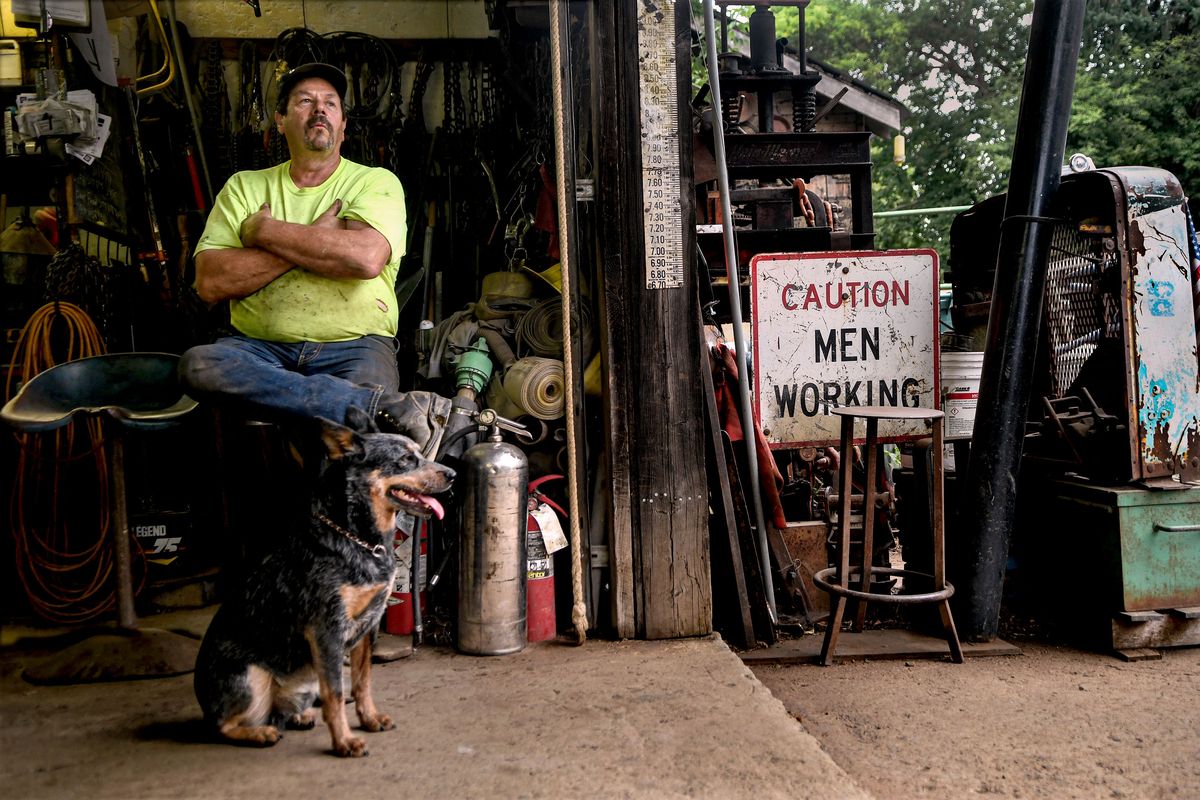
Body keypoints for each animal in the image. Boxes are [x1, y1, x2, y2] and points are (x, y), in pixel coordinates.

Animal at [192, 407, 453, 758]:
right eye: (404, 460)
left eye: (420, 454)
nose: (452, 473)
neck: (359, 540)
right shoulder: (327, 629)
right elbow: (336, 694)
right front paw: (344, 741)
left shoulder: (368, 627)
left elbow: (362, 682)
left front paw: (369, 719)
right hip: (251, 678)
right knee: (222, 724)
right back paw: (259, 732)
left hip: (303, 682)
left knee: (281, 710)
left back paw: (297, 716)